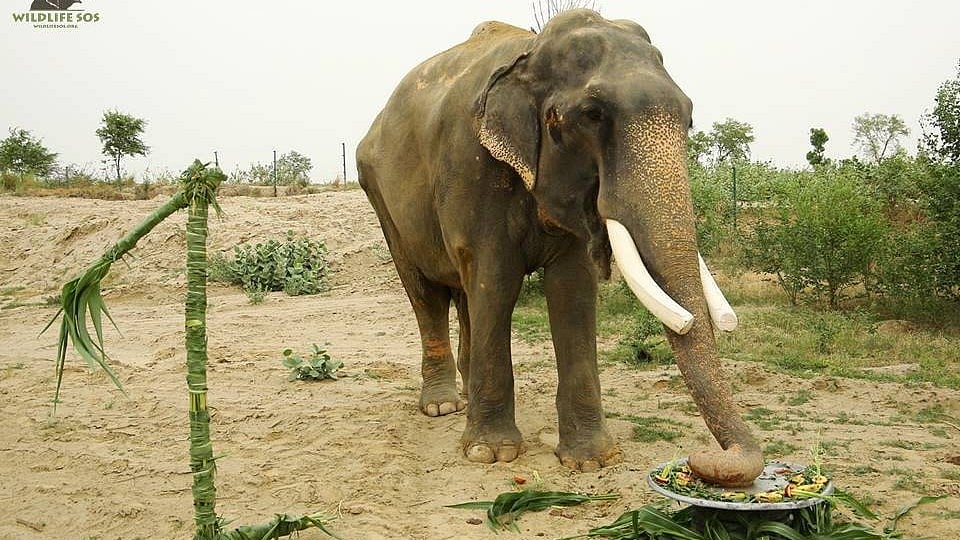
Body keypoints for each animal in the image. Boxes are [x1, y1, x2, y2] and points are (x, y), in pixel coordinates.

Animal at [357, 9, 764, 486]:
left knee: (463, 293)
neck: (529, 55)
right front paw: (490, 454)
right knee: (427, 294)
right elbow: (496, 279)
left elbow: (572, 291)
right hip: (380, 198)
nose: (702, 460)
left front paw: (591, 461)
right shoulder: (473, 166)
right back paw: (442, 406)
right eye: (592, 114)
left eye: (690, 117)